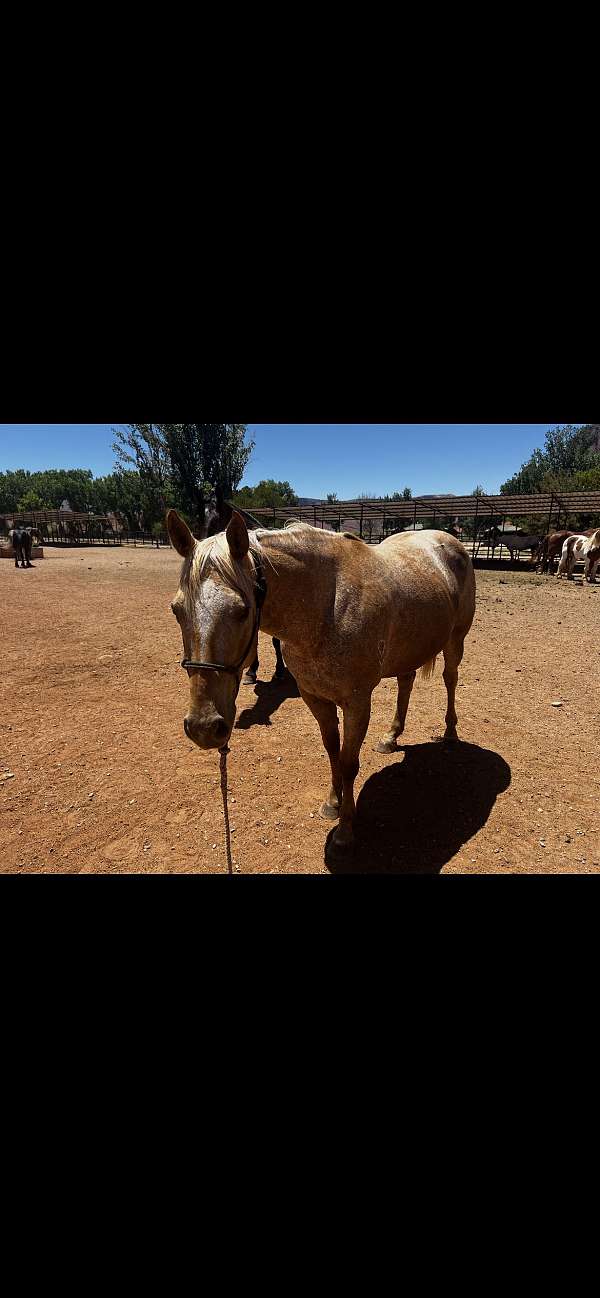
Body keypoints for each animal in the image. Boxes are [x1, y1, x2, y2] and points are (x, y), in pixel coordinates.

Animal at [167, 509, 476, 858]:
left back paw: (450, 733)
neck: (327, 606)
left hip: (455, 642)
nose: (204, 727)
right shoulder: (314, 698)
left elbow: (349, 762)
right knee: (405, 683)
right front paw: (333, 803)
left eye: (242, 610)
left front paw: (345, 830)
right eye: (176, 610)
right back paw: (391, 737)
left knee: (450, 679)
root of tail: (447, 540)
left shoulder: (357, 703)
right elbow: (332, 751)